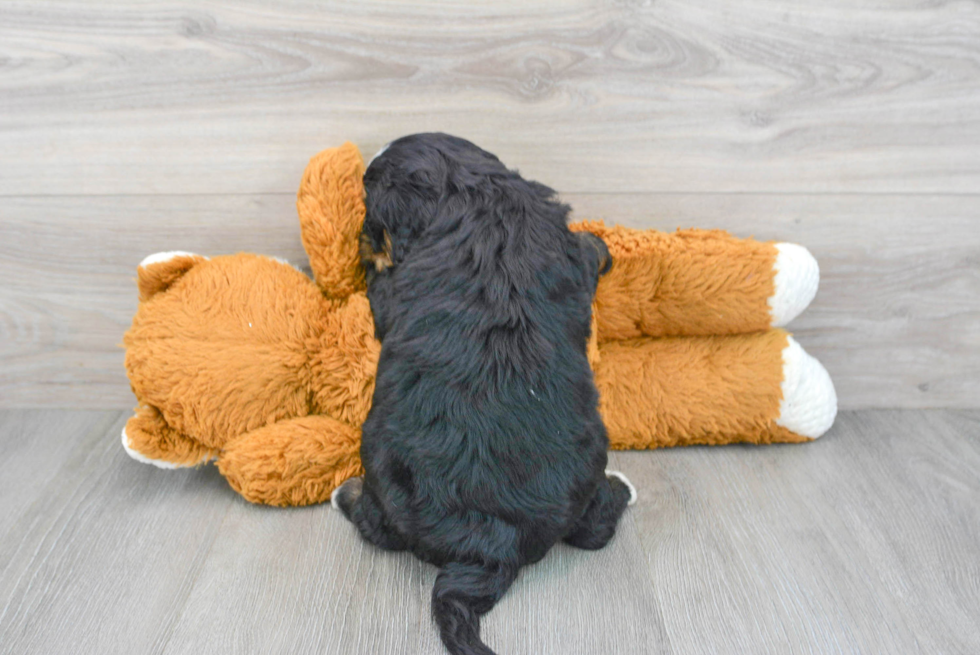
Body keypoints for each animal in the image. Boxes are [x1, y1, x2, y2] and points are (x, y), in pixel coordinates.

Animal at [332, 133, 636, 655]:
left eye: (370, 199)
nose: (361, 232)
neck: (472, 192)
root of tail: (490, 544)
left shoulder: (391, 294)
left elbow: (380, 285)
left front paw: (368, 254)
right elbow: (588, 250)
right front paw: (601, 245)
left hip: (384, 475)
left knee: (374, 523)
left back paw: (345, 492)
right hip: (586, 463)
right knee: (595, 527)